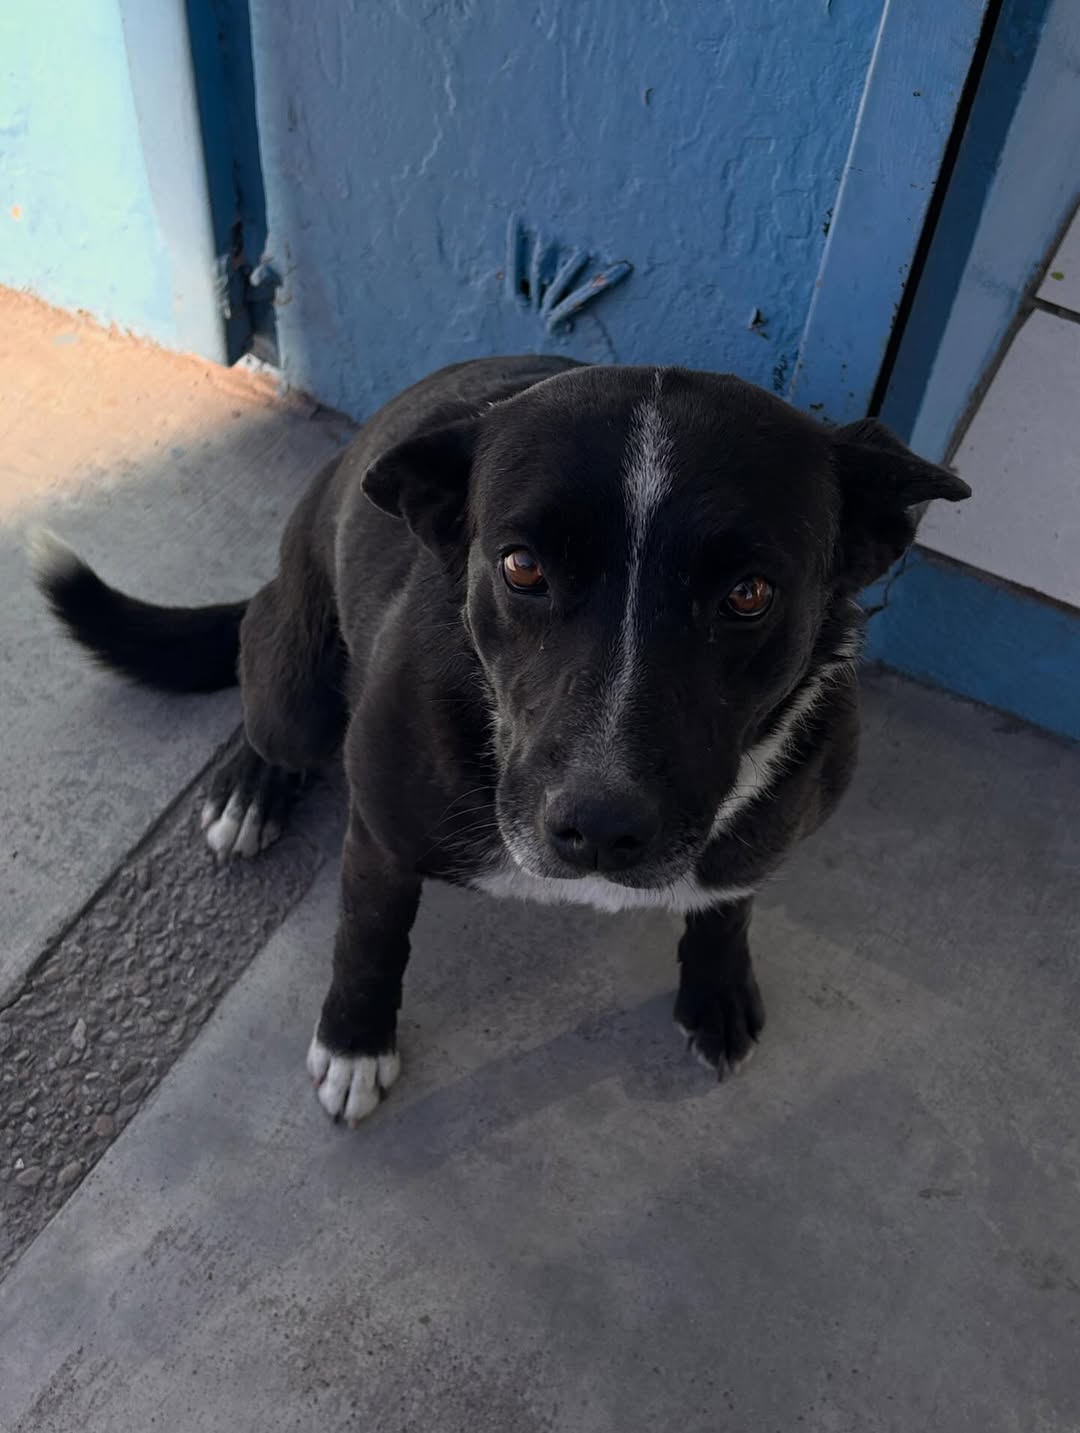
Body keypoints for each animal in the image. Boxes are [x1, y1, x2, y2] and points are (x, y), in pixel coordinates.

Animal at [31, 356, 970, 1124]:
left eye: (749, 593)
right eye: (521, 566)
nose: (599, 827)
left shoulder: (765, 830)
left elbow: (728, 899)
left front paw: (717, 986)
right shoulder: (379, 833)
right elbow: (368, 937)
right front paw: (355, 1044)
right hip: (293, 680)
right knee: (266, 707)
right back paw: (251, 787)